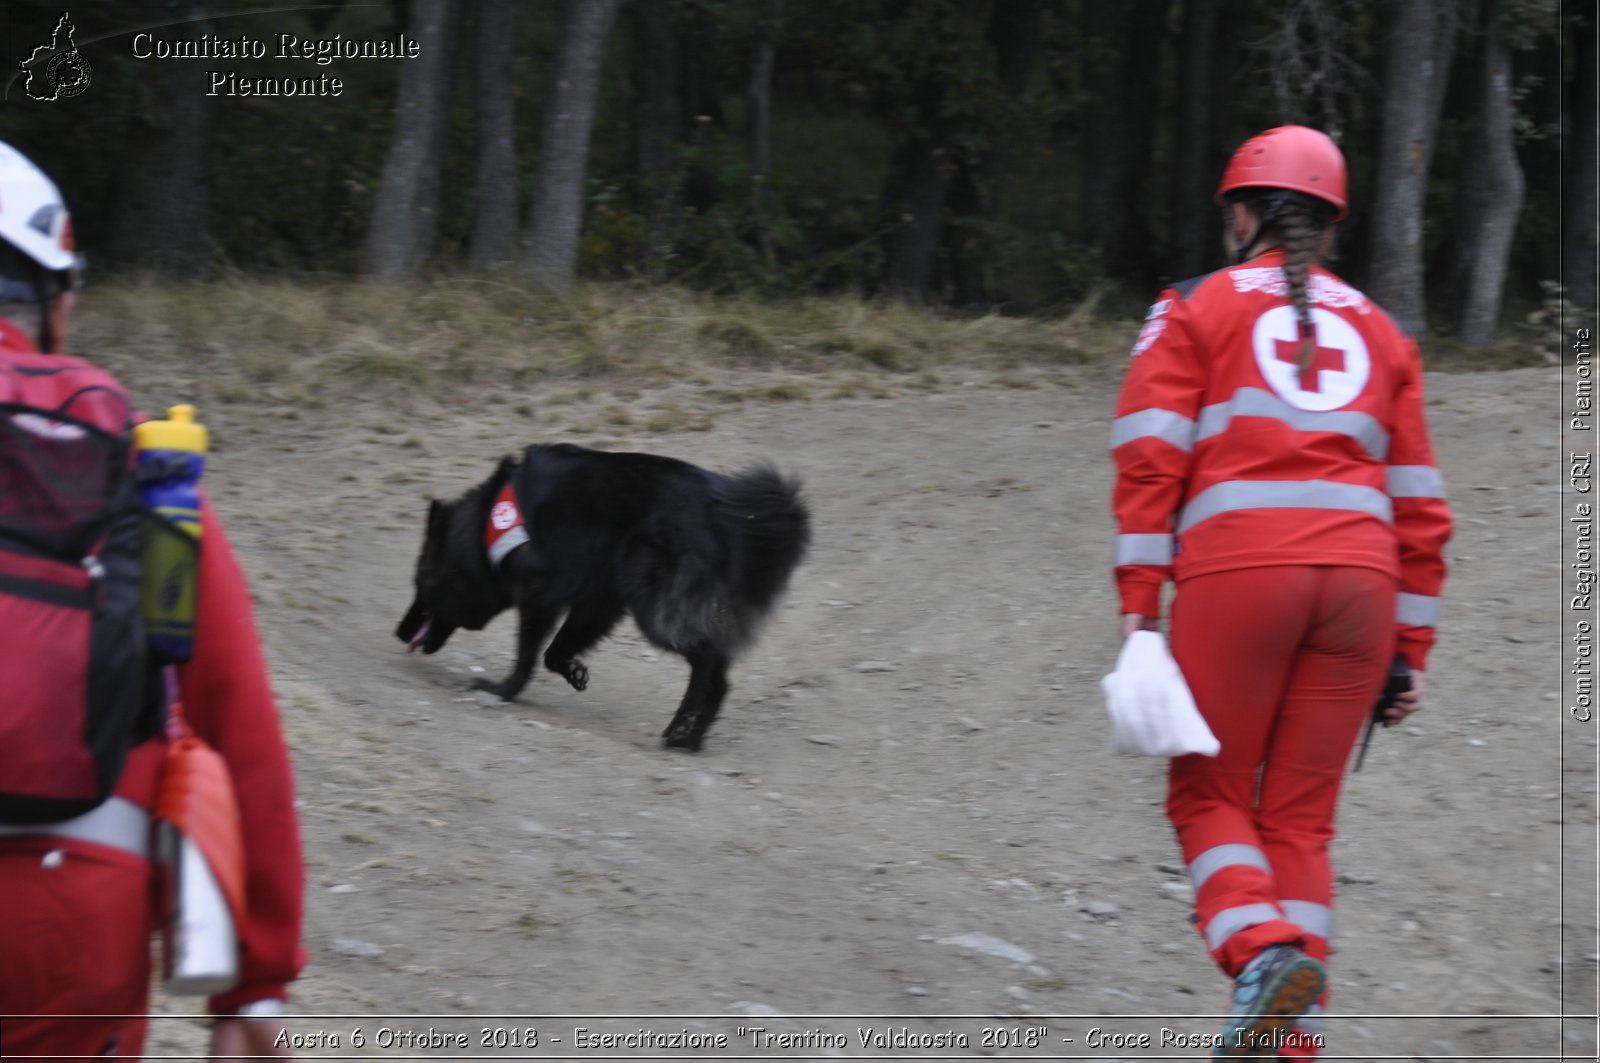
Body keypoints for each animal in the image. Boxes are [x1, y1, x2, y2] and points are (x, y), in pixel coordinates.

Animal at [390, 445, 812, 752]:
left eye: (420, 584)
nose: (400, 631)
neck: (481, 534)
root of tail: (722, 510)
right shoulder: (598, 602)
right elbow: (555, 651)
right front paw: (573, 671)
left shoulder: (540, 597)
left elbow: (527, 656)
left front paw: (502, 691)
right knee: (719, 673)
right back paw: (692, 737)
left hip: (655, 613)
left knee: (706, 663)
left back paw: (682, 730)